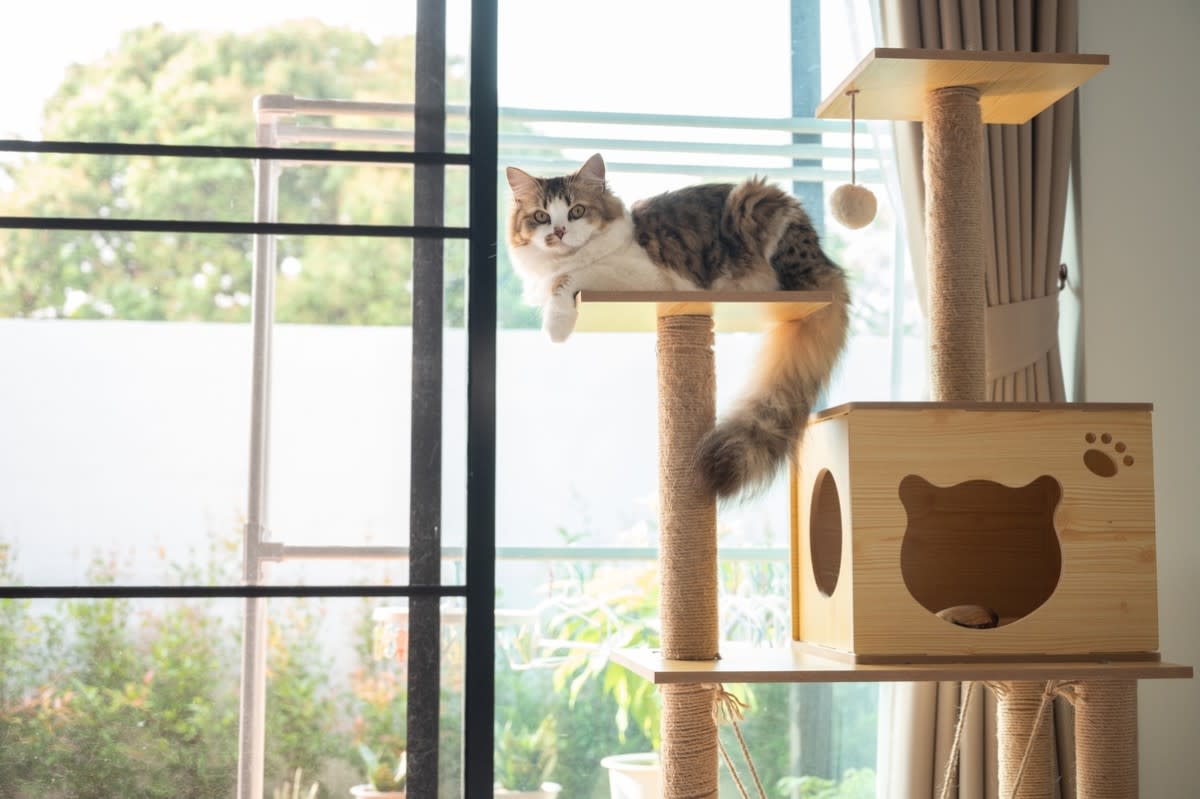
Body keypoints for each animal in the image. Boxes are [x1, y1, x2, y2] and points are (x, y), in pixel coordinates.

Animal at [506, 151, 854, 494]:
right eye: (541, 217)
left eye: (576, 211)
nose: (559, 232)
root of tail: (829, 266)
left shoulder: (639, 276)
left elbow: (568, 278)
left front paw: (556, 326)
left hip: (755, 203)